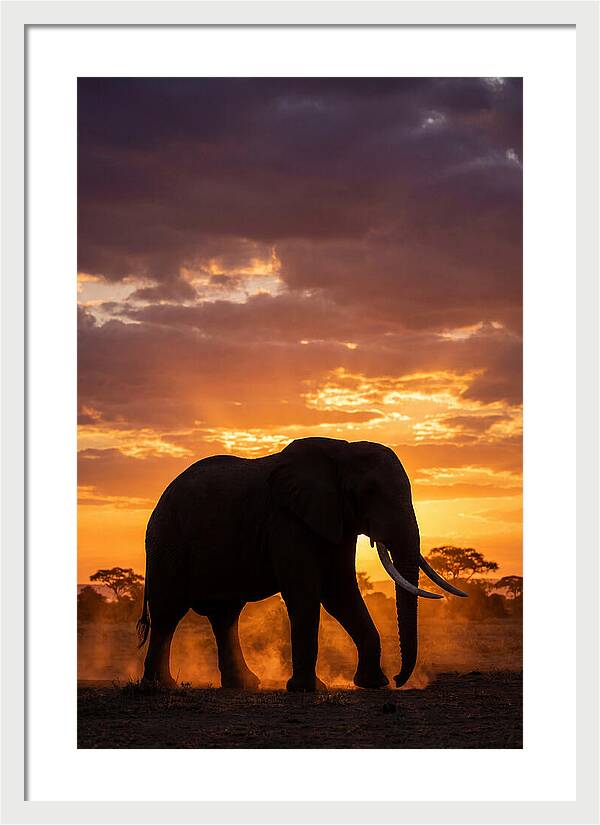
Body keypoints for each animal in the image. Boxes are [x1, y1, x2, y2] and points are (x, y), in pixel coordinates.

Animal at [137, 437, 467, 692]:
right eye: (369, 492)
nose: (399, 679)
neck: (342, 451)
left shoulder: (336, 519)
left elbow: (340, 592)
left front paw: (374, 684)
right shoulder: (286, 520)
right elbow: (306, 593)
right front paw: (307, 689)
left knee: (225, 615)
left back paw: (244, 684)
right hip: (167, 541)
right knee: (169, 613)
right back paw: (160, 686)